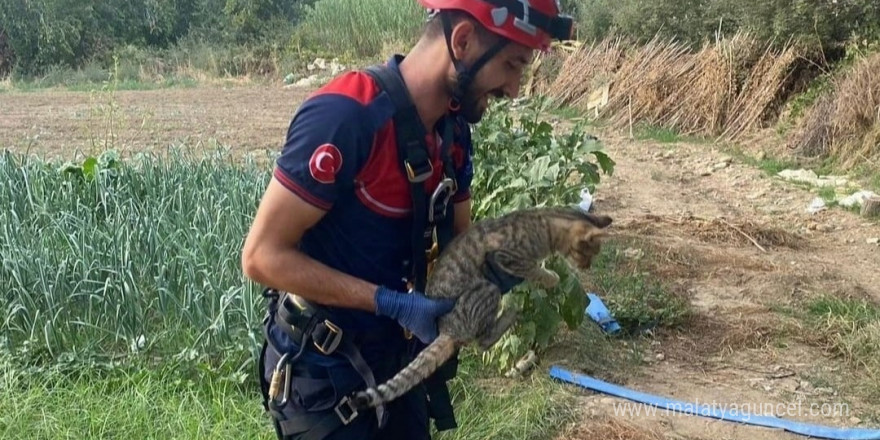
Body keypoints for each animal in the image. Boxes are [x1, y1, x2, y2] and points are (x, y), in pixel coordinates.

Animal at [350, 205, 612, 410]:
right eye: (588, 254)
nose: (587, 267)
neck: (545, 222)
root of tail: (447, 330)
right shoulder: (507, 257)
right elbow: (534, 270)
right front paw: (551, 278)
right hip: (488, 288)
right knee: (481, 341)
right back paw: (511, 312)